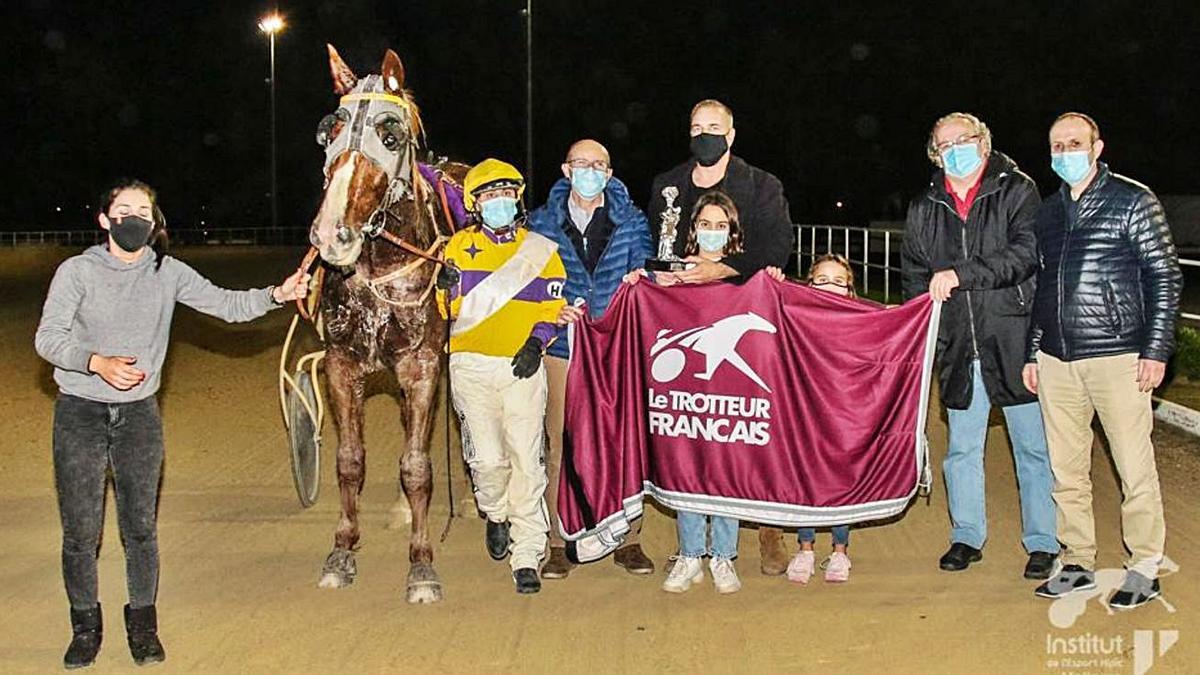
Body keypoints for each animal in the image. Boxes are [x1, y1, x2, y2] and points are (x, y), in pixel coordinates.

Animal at [307, 44, 465, 600]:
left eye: (389, 135)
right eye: (328, 131)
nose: (332, 234)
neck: (379, 264)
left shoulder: (421, 367)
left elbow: (416, 466)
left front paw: (421, 563)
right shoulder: (342, 365)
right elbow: (349, 460)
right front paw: (341, 550)